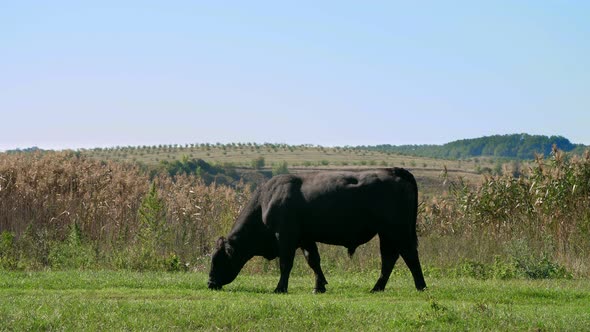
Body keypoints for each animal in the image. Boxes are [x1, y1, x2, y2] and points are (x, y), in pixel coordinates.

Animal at [208, 169, 426, 294]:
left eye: (219, 259)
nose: (210, 283)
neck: (266, 201)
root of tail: (394, 170)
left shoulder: (286, 237)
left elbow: (286, 264)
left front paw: (280, 288)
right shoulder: (306, 239)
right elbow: (313, 261)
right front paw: (319, 286)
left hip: (397, 231)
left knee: (409, 255)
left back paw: (420, 286)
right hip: (387, 234)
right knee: (389, 258)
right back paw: (377, 288)